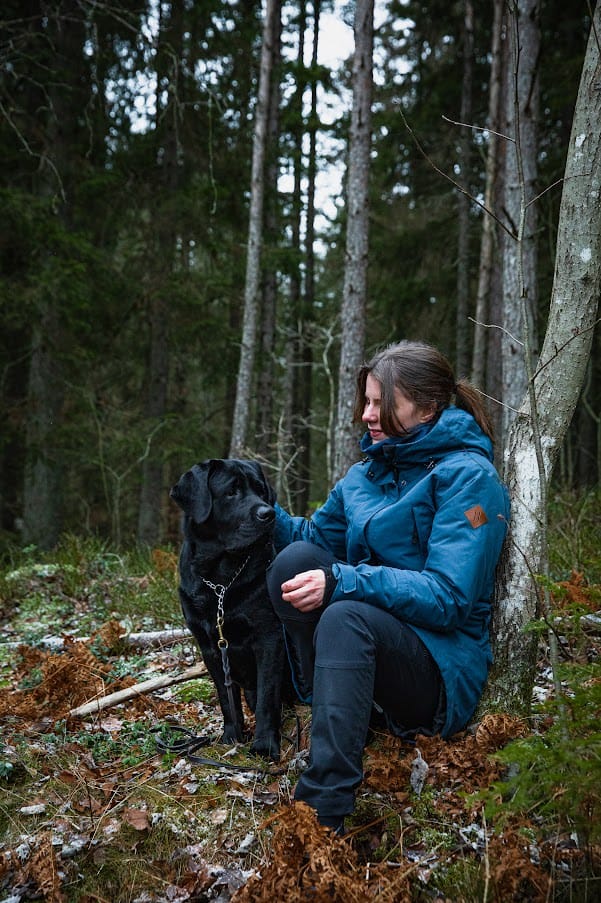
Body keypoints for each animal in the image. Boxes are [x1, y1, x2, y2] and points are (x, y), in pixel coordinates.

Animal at [169, 460, 290, 764]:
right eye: (232, 491)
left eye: (261, 490)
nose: (268, 514)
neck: (221, 579)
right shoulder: (210, 646)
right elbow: (226, 698)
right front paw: (232, 736)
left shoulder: (269, 638)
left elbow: (267, 698)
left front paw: (264, 745)